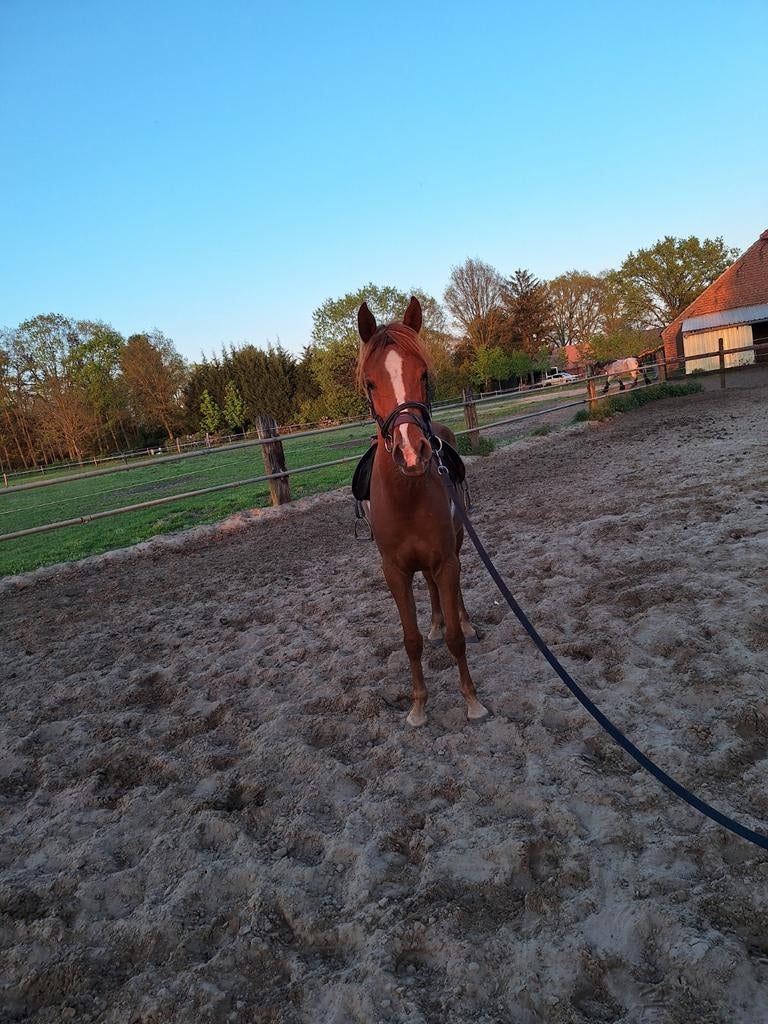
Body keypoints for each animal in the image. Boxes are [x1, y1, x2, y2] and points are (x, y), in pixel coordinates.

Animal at [356, 297, 488, 728]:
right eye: (370, 382)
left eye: (424, 374)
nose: (412, 452)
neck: (407, 497)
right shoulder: (394, 572)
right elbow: (410, 640)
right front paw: (417, 706)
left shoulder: (446, 559)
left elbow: (456, 639)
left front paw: (472, 701)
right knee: (429, 592)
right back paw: (434, 623)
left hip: (457, 545)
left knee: (454, 595)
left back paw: (463, 620)